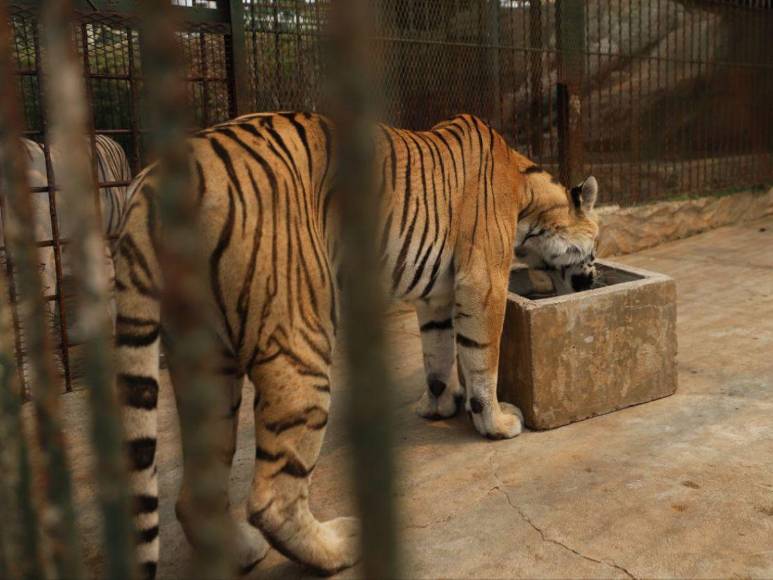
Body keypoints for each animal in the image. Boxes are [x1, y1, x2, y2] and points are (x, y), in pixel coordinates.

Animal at [113, 112, 600, 577]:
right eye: (594, 248)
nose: (594, 276)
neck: (528, 199)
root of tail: (152, 181)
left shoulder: (437, 295)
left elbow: (438, 353)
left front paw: (438, 406)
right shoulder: (482, 281)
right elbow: (482, 358)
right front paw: (496, 423)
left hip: (208, 360)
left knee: (194, 495)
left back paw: (242, 551)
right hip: (300, 339)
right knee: (272, 497)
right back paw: (338, 547)